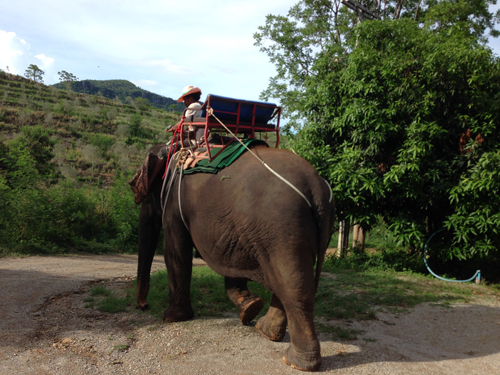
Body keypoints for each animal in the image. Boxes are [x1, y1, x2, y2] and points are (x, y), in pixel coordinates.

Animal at [131, 142, 338, 372]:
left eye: (142, 193)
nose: (143, 306)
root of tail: (316, 188)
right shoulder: (231, 230)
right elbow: (229, 262)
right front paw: (249, 308)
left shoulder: (175, 204)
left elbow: (175, 252)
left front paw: (171, 318)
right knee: (290, 281)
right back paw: (267, 332)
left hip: (282, 229)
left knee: (293, 288)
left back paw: (297, 363)